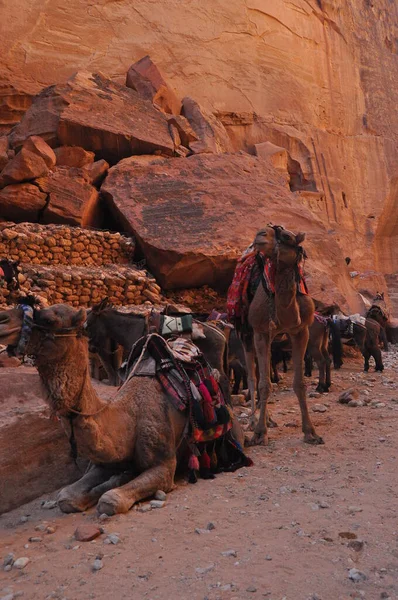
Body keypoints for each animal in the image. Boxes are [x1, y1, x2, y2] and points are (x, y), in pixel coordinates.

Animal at [0, 304, 246, 516]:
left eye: (49, 319)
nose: (2, 320)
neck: (128, 419)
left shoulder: (165, 466)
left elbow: (111, 500)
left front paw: (114, 485)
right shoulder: (103, 461)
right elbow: (66, 497)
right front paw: (114, 479)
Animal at [236, 225, 324, 446]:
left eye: (286, 236)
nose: (260, 235)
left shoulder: (301, 331)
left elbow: (299, 384)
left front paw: (310, 432)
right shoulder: (260, 332)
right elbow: (264, 384)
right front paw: (259, 433)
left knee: (261, 371)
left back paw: (268, 419)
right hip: (245, 334)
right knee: (252, 376)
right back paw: (254, 422)